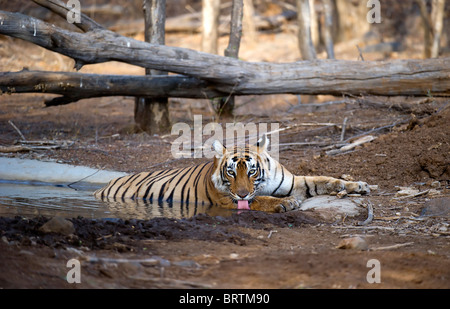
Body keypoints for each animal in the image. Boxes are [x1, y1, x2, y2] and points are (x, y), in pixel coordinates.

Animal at [94, 135, 370, 212]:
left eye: (252, 171)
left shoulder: (295, 182)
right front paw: (285, 203)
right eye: (230, 173)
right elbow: (259, 199)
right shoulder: (226, 199)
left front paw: (357, 186)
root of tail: (102, 187)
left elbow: (322, 180)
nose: (242, 193)